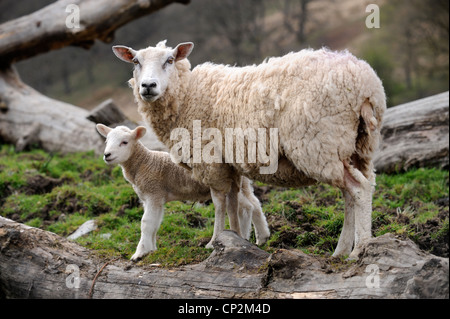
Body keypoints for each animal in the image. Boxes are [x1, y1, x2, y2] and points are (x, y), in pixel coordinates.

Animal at [96, 124, 268, 262]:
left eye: (124, 142)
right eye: (106, 141)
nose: (107, 155)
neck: (144, 163)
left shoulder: (154, 193)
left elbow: (146, 222)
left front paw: (140, 253)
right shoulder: (154, 198)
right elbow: (155, 223)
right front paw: (151, 249)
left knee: (244, 207)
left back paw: (238, 237)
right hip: (243, 183)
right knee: (254, 204)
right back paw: (262, 237)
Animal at [112, 41, 386, 258]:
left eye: (169, 60)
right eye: (135, 61)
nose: (148, 86)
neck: (187, 96)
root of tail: (366, 84)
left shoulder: (210, 161)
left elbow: (219, 202)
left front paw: (214, 241)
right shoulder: (229, 164)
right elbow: (234, 202)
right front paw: (236, 237)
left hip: (319, 144)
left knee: (359, 190)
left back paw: (359, 250)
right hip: (358, 148)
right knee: (352, 193)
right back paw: (342, 250)